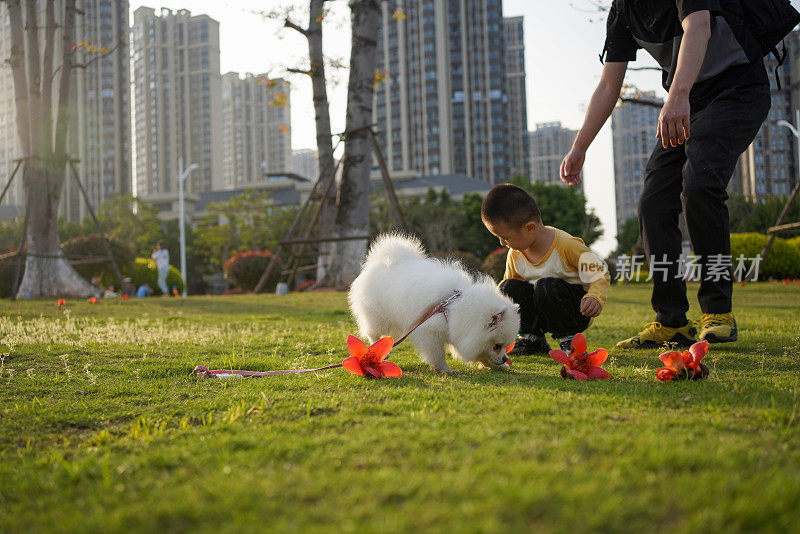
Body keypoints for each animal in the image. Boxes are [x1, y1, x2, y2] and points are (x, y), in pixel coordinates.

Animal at [348, 234, 520, 376]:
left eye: (505, 346)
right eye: (497, 346)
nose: (505, 358)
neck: (455, 308)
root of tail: (382, 261)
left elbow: (482, 355)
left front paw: (498, 366)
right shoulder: (429, 332)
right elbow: (438, 355)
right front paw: (446, 370)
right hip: (379, 317)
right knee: (373, 333)